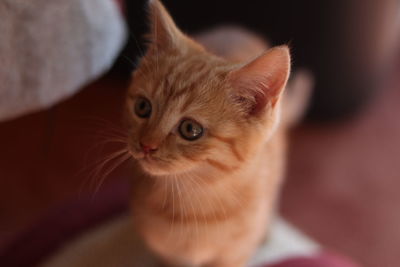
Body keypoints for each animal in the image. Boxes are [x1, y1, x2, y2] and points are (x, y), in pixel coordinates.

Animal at [127, 0, 310, 267]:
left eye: (190, 129)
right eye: (143, 107)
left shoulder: (233, 255)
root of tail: (235, 28)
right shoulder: (173, 255)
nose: (145, 145)